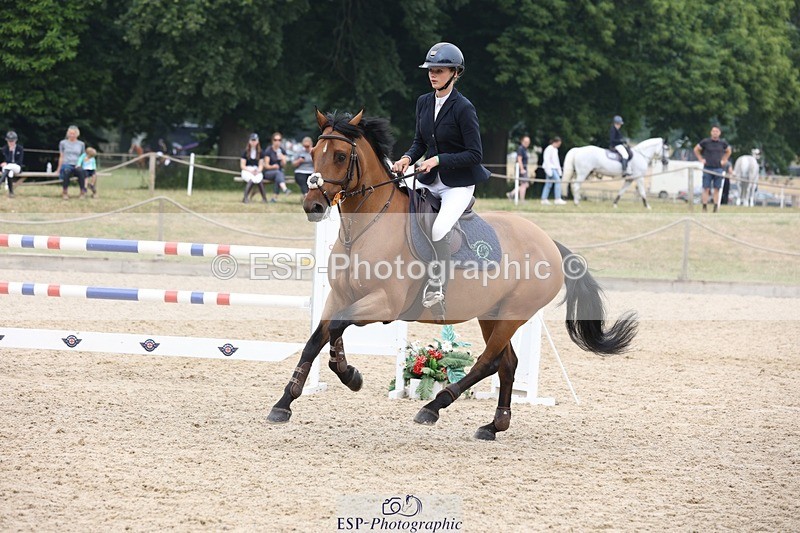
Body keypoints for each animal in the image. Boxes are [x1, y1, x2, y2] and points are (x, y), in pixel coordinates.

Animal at [266, 109, 638, 441]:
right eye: (313, 153)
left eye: (341, 156)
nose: (313, 206)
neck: (366, 229)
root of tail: (549, 243)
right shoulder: (340, 296)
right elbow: (317, 339)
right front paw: (285, 402)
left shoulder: (384, 304)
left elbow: (336, 327)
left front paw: (350, 375)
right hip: (491, 314)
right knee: (508, 363)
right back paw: (493, 426)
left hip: (512, 314)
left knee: (489, 362)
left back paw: (434, 407)